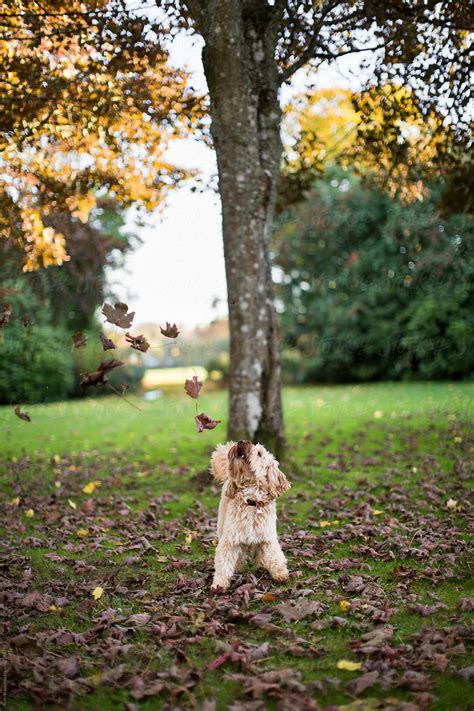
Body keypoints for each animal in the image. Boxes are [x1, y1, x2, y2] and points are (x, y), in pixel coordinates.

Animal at [210, 442, 290, 592]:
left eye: (259, 453)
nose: (240, 441)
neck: (251, 502)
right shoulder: (229, 540)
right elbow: (223, 563)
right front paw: (219, 585)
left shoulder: (268, 537)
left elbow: (275, 555)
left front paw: (281, 574)